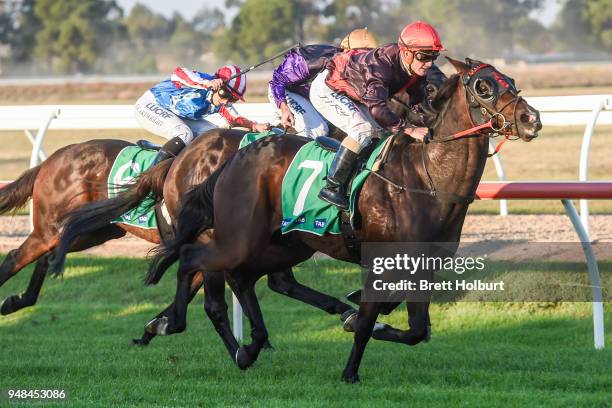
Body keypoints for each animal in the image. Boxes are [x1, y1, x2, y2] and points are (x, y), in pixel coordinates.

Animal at [146, 57, 544, 382]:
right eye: (484, 87)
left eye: (511, 80)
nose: (531, 119)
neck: (427, 179)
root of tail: (225, 160)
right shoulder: (378, 261)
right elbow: (368, 320)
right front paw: (350, 370)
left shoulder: (423, 266)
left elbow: (418, 330)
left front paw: (366, 321)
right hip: (236, 238)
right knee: (200, 267)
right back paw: (176, 325)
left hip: (284, 244)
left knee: (246, 278)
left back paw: (240, 346)